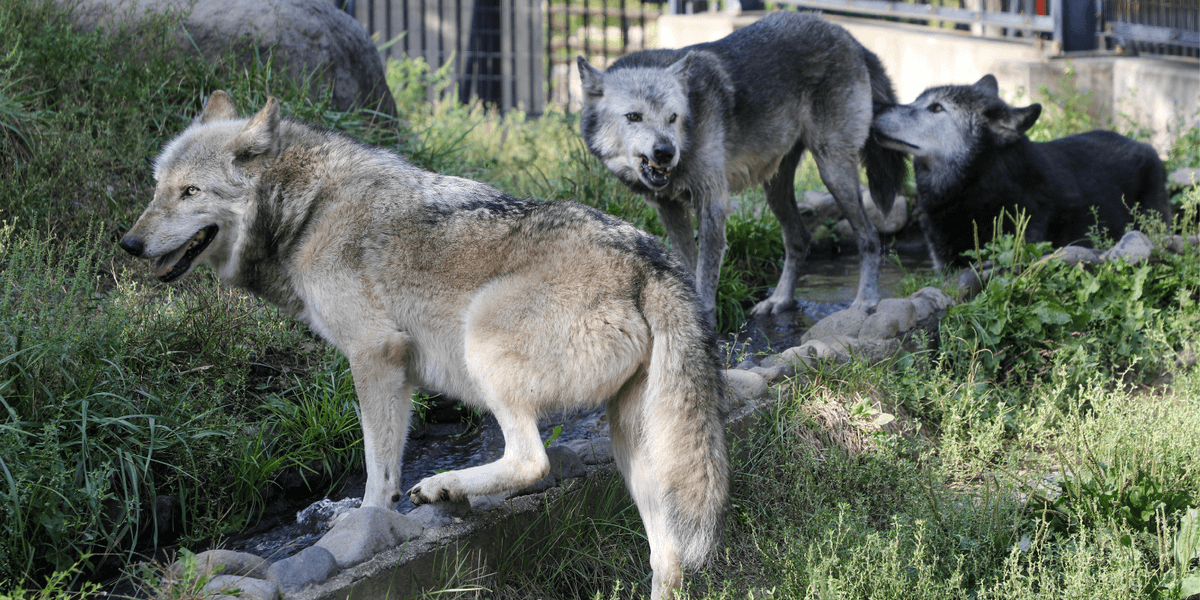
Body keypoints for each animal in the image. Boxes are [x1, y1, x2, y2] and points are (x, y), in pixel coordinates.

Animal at [119, 91, 729, 599]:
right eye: (156, 189)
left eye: (190, 192)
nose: (128, 243)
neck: (308, 210)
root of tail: (651, 261)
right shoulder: (400, 372)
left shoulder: (374, 354)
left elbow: (377, 471)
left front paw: (368, 521)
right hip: (638, 452)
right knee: (668, 559)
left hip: (482, 345)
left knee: (531, 463)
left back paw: (444, 486)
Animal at [577, 11, 907, 322]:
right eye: (634, 116)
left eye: (673, 117)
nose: (666, 152)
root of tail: (851, 38)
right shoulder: (669, 209)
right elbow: (688, 267)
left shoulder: (712, 203)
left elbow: (705, 280)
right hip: (775, 188)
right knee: (799, 238)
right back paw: (780, 300)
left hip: (833, 170)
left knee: (870, 237)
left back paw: (865, 302)